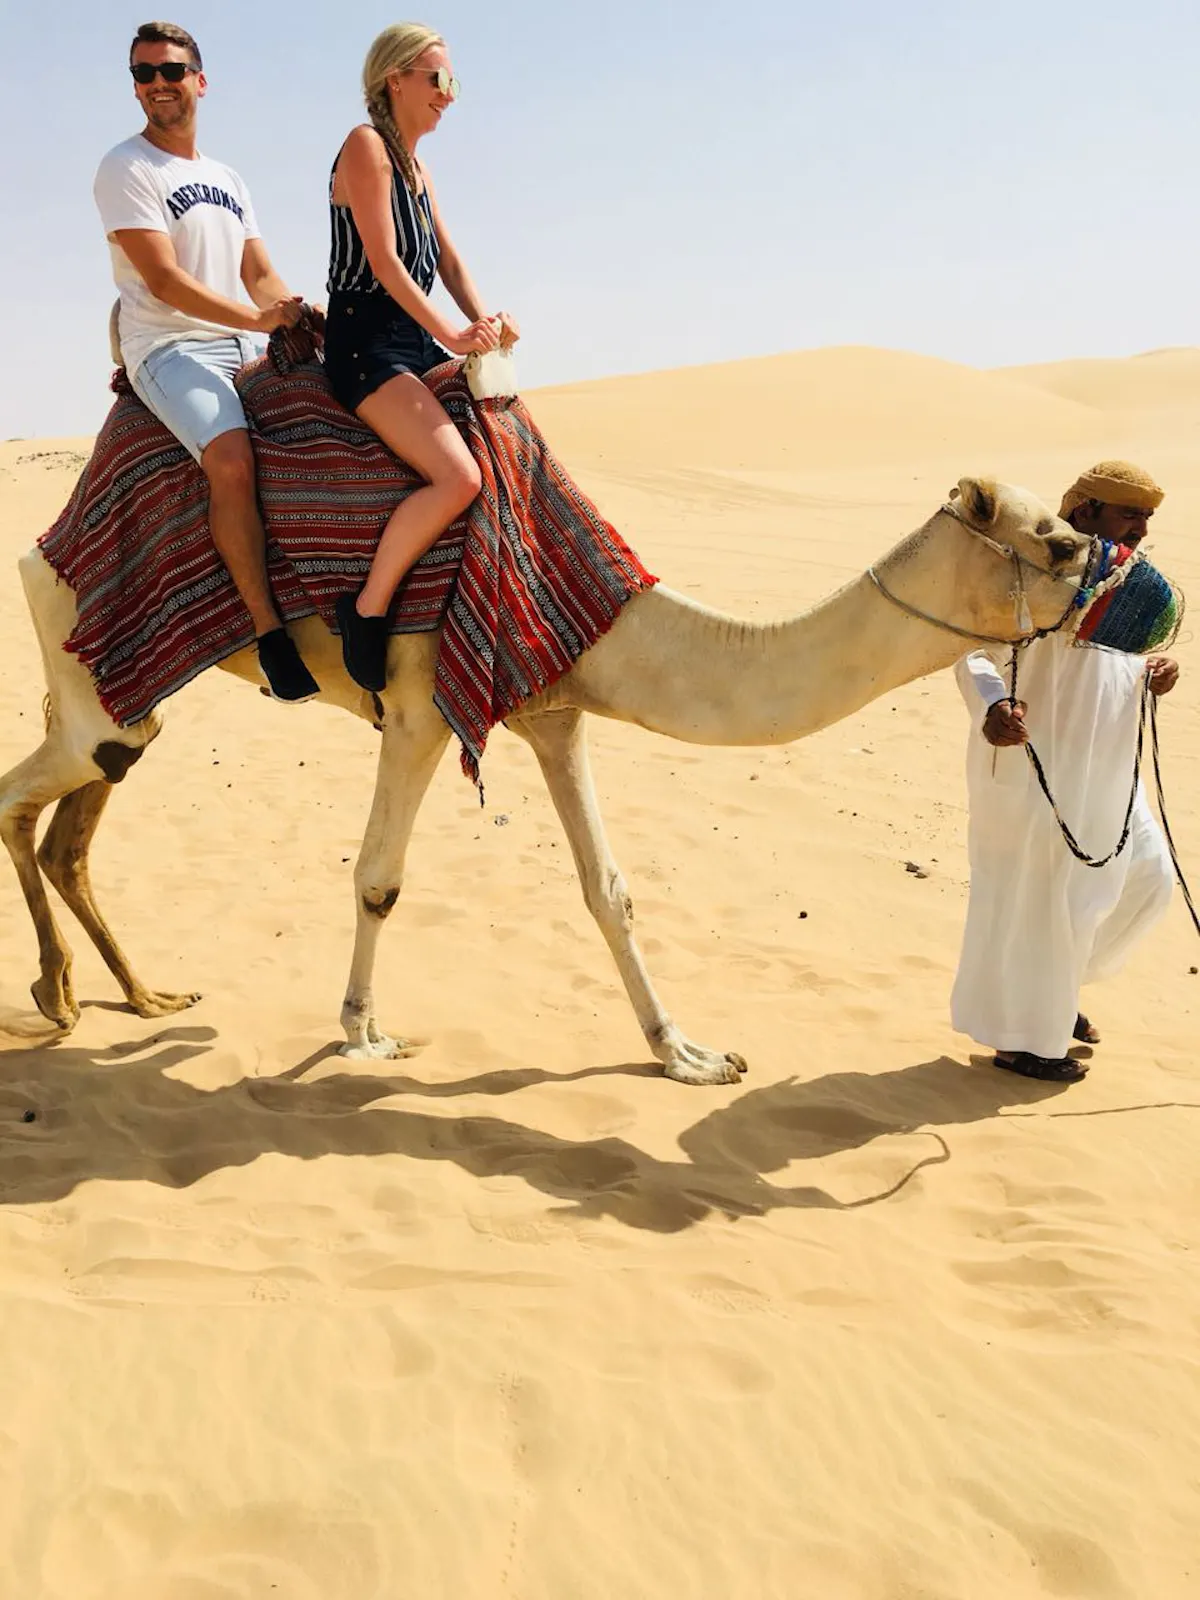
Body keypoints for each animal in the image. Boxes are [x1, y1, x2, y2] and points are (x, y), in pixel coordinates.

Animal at [0, 476, 1089, 1085]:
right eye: (1061, 541)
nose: (1123, 580)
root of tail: (41, 541)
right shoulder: (419, 708)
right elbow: (378, 879)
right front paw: (363, 1035)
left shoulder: (556, 714)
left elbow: (609, 890)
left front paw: (688, 1054)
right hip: (92, 676)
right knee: (28, 793)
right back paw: (60, 996)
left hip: (124, 701)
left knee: (71, 820)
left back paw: (132, 998)